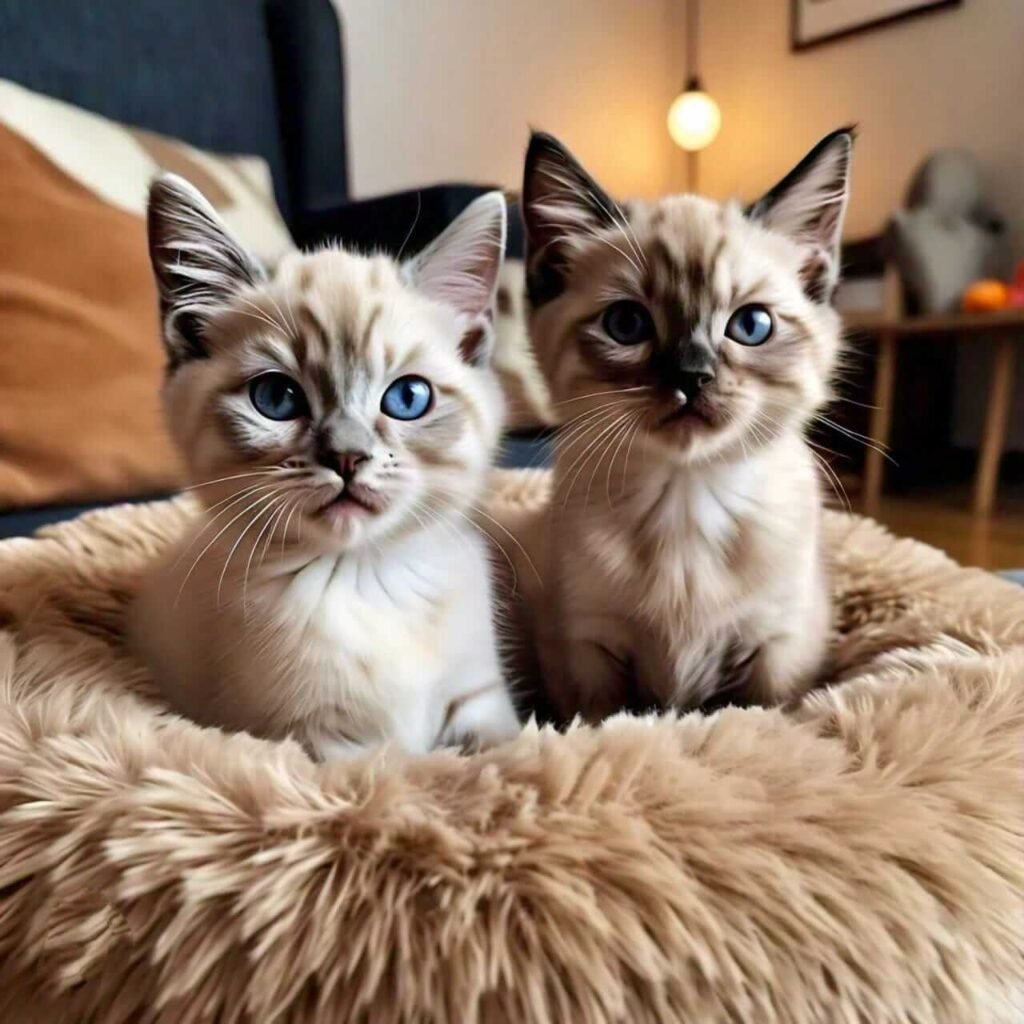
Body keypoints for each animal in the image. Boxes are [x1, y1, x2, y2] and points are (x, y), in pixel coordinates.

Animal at [130, 172, 520, 757]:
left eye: (408, 398)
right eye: (276, 398)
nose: (347, 457)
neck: (366, 578)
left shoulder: (480, 702)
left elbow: (506, 752)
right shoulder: (317, 743)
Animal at [512, 130, 856, 720]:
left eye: (751, 325)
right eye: (627, 324)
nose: (692, 377)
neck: (687, 495)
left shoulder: (775, 650)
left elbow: (766, 717)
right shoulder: (589, 648)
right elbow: (602, 722)